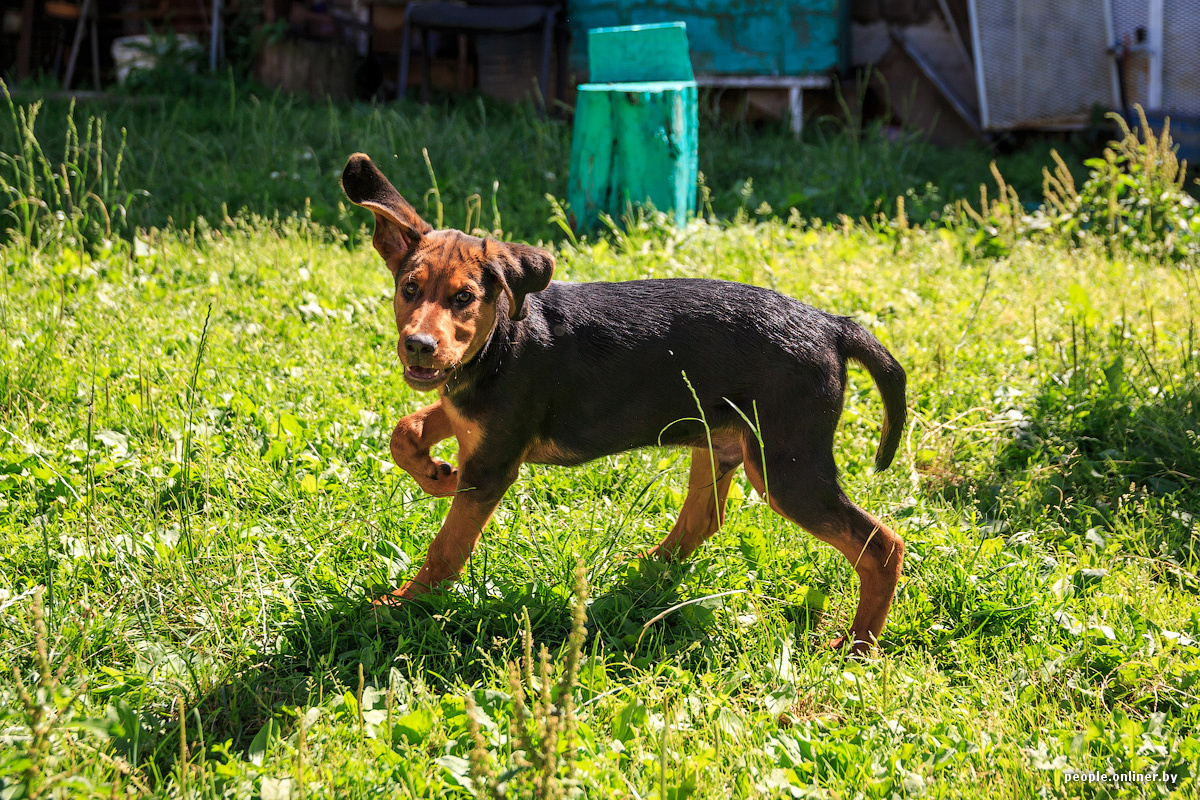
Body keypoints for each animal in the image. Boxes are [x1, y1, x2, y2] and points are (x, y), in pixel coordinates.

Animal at [343, 153, 902, 652]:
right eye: (409, 288)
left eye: (463, 298)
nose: (418, 346)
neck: (497, 342)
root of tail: (832, 325)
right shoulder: (469, 416)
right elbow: (405, 431)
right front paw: (436, 474)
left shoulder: (494, 459)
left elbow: (448, 545)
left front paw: (403, 604)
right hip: (726, 441)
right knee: (704, 519)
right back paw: (642, 573)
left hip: (785, 467)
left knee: (881, 545)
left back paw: (857, 645)